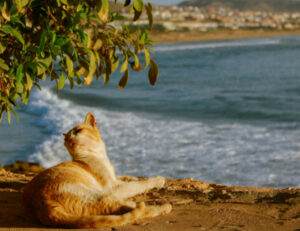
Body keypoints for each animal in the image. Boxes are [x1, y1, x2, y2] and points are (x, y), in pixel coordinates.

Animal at [22, 113, 172, 228]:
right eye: (66, 139)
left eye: (78, 131)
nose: (68, 139)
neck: (96, 154)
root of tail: (41, 205)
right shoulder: (114, 187)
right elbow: (138, 184)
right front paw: (157, 180)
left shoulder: (114, 177)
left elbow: (128, 177)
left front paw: (136, 177)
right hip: (97, 195)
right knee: (130, 208)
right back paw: (162, 207)